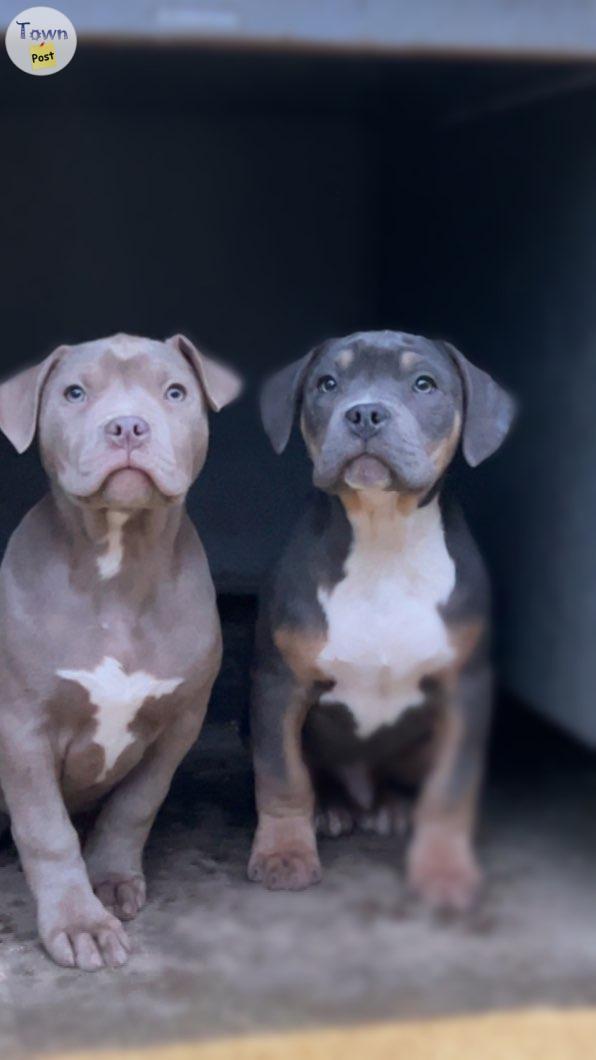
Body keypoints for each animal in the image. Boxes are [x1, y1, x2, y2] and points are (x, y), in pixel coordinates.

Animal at [0, 330, 238, 970]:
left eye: (175, 391)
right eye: (74, 393)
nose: (127, 426)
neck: (119, 564)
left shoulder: (182, 720)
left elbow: (136, 806)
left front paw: (108, 880)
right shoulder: (20, 726)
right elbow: (47, 831)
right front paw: (79, 923)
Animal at [246, 328, 511, 911]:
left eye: (424, 384)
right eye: (327, 383)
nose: (365, 413)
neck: (384, 536)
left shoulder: (466, 686)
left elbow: (452, 788)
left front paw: (444, 870)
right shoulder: (279, 683)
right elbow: (282, 774)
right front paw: (284, 854)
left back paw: (390, 806)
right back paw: (332, 807)